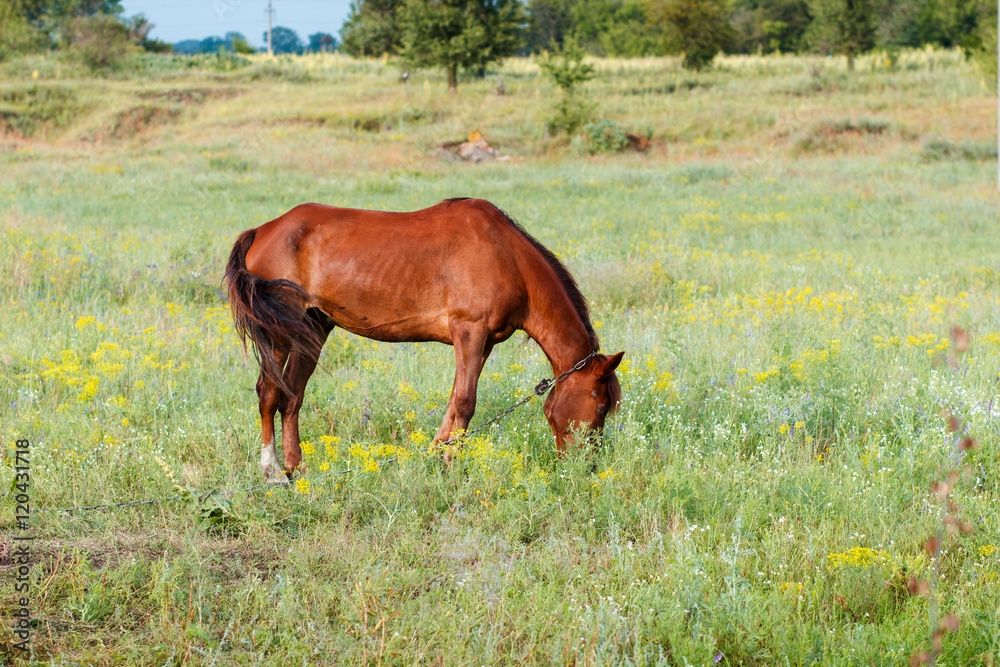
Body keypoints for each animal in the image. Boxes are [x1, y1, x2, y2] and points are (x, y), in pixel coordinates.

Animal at [225, 198, 624, 483]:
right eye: (602, 406)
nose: (586, 465)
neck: (506, 255)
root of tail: (262, 230)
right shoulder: (470, 331)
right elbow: (465, 403)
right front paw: (449, 463)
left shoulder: (483, 343)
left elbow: (454, 402)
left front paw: (436, 455)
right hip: (279, 330)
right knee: (269, 393)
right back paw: (272, 472)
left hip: (314, 328)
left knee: (292, 395)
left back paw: (297, 470)